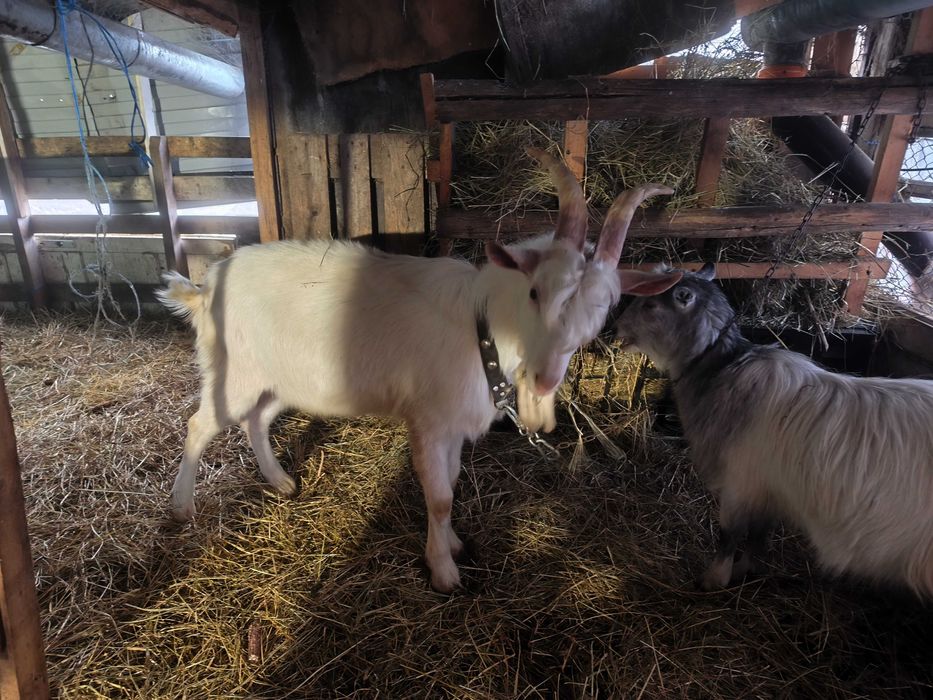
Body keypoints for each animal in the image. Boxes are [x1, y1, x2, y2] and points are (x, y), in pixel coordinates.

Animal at [158, 148, 678, 592]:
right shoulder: (428, 420)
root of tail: (207, 287)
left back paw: (280, 481)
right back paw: (182, 508)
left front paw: (451, 545)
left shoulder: (452, 425)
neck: (483, 329)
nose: (546, 379)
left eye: (604, 306)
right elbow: (441, 494)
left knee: (257, 420)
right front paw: (444, 573)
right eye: (536, 291)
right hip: (235, 372)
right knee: (201, 424)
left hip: (280, 378)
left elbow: (450, 483)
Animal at [615, 262, 933, 596]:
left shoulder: (740, 481)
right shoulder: (769, 489)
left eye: (650, 305)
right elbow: (759, 533)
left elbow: (729, 534)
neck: (722, 370)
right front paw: (746, 568)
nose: (617, 327)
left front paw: (714, 579)